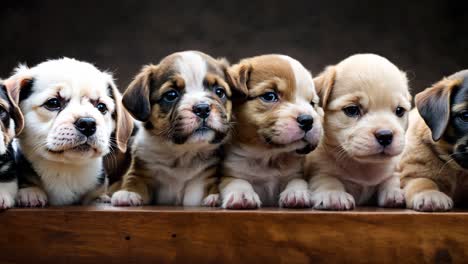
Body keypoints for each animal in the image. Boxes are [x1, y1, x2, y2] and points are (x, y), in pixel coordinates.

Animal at [5, 58, 133, 206]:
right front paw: (30, 192)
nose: (87, 123)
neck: (67, 170)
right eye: (53, 103)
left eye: (101, 107)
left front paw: (101, 198)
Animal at [110, 51, 234, 206]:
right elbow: (134, 180)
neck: (182, 153)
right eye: (171, 95)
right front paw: (128, 193)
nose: (202, 108)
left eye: (219, 92)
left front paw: (214, 197)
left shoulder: (204, 178)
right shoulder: (142, 168)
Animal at [218, 54, 322, 209]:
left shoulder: (295, 173)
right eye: (269, 96)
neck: (268, 157)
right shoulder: (229, 173)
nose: (308, 120)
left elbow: (297, 181)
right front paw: (241, 194)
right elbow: (236, 181)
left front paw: (296, 193)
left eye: (312, 103)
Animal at [306, 54, 412, 210]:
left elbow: (391, 179)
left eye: (399, 111)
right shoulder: (318, 169)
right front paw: (333, 194)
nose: (385, 135)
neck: (363, 166)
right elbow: (327, 178)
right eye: (352, 110)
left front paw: (395, 192)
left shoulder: (393, 169)